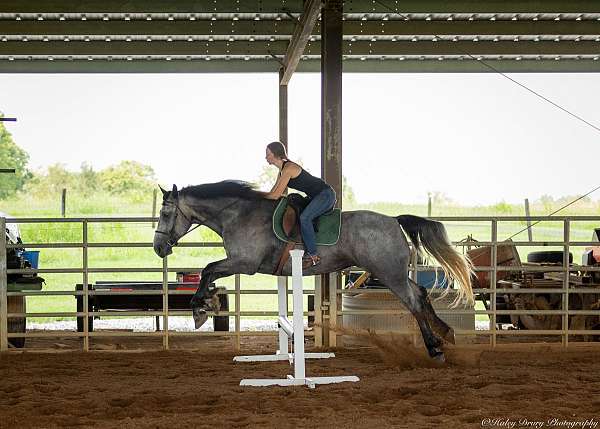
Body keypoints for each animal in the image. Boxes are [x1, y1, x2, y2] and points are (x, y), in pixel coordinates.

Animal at [152, 179, 472, 360]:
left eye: (166, 213)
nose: (158, 248)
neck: (238, 214)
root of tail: (394, 220)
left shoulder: (245, 263)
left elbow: (208, 269)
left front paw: (200, 309)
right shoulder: (240, 263)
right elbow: (209, 272)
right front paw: (206, 304)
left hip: (389, 273)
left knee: (414, 301)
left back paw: (435, 348)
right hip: (393, 272)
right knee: (421, 293)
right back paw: (446, 333)